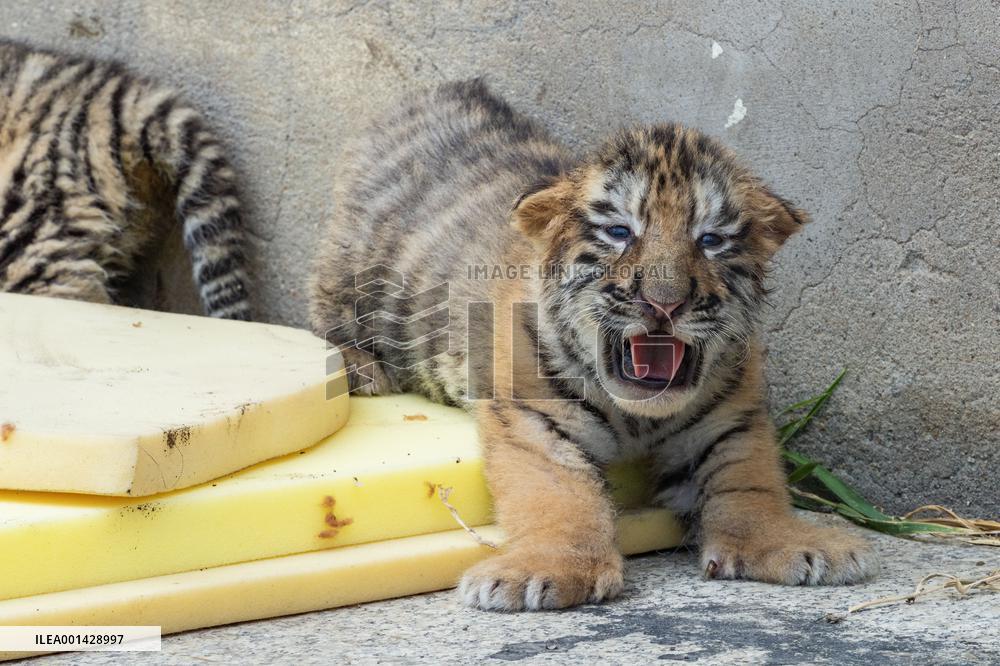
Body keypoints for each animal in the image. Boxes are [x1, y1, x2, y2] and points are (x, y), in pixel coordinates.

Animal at [309, 79, 878, 611]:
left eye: (710, 240)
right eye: (620, 232)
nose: (664, 303)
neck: (639, 418)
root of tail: (444, 91)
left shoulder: (731, 421)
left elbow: (749, 481)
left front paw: (791, 543)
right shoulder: (534, 419)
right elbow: (558, 493)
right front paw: (546, 572)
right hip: (354, 269)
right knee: (329, 311)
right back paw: (362, 369)